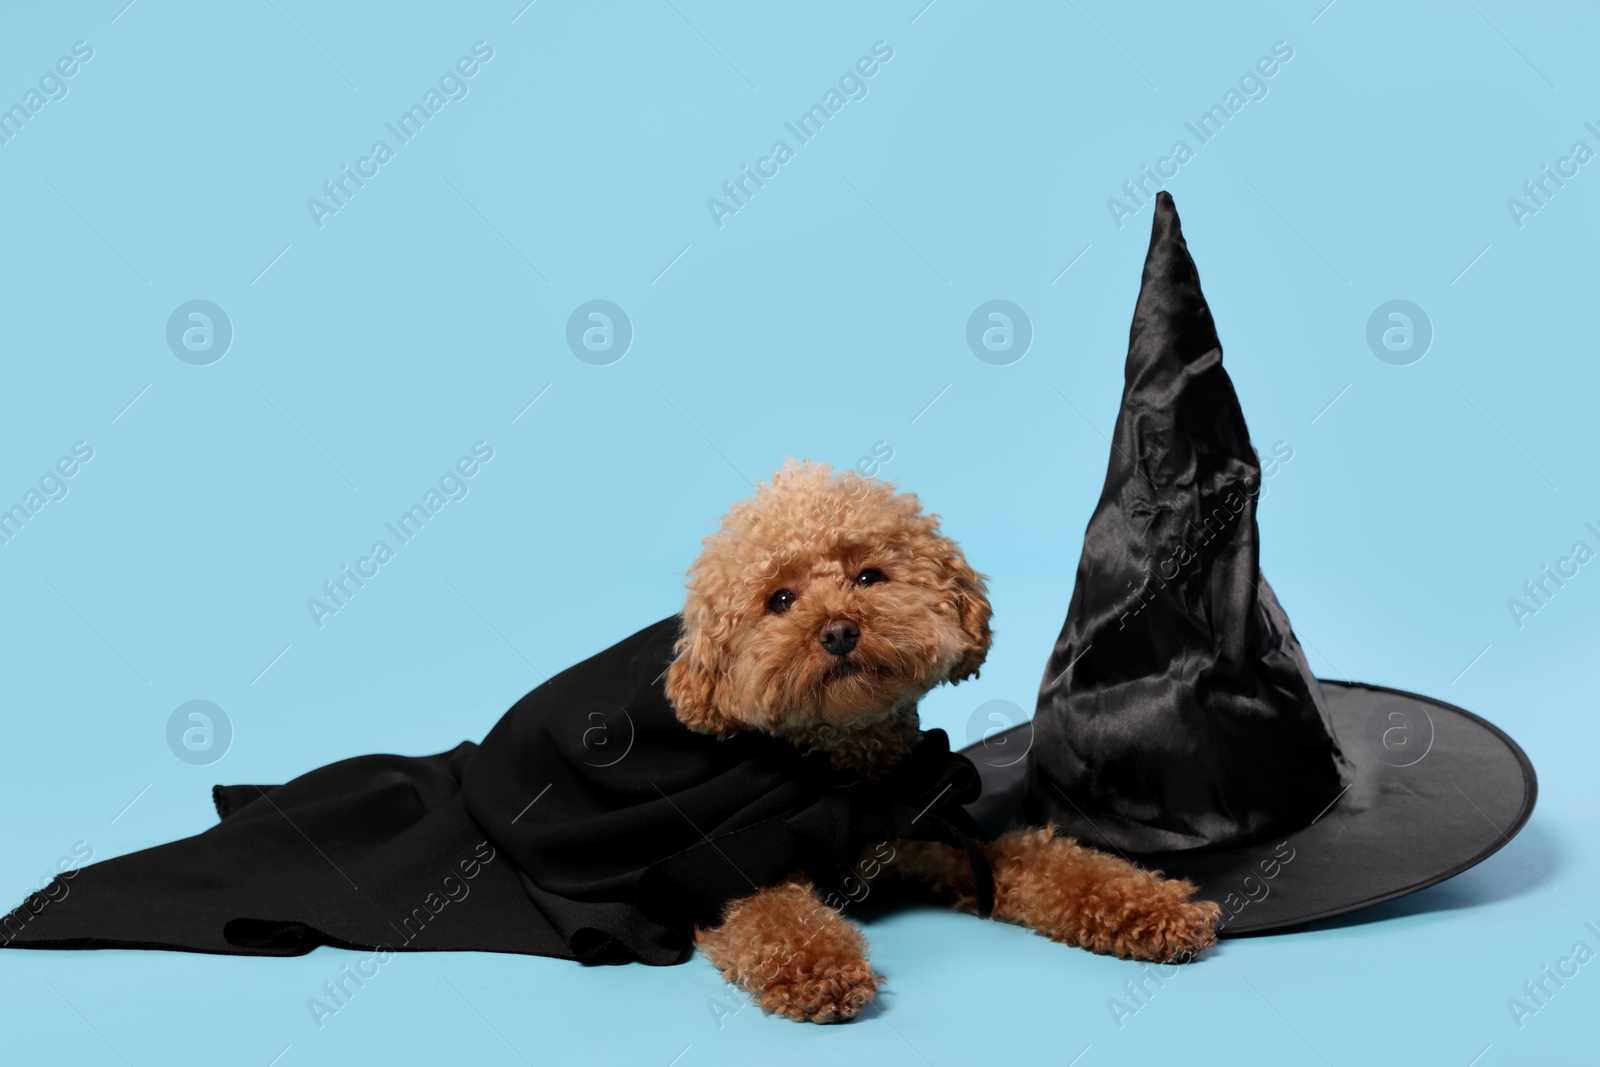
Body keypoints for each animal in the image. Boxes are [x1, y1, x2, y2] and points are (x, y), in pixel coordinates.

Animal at [668, 460, 1216, 1023]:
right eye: (780, 600)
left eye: (869, 576)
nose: (839, 631)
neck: (859, 780)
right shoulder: (735, 871)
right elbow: (770, 914)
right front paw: (821, 968)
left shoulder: (939, 833)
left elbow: (1050, 863)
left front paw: (1151, 906)